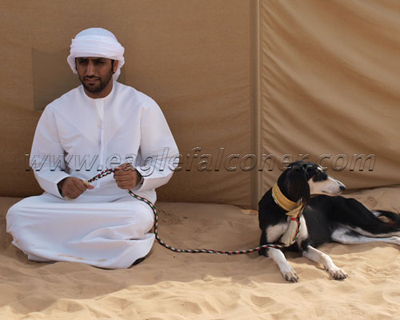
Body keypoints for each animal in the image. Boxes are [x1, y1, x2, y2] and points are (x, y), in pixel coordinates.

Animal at [260, 161, 400, 282]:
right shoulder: (265, 245)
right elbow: (278, 252)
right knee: (392, 237)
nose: (343, 187)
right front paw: (289, 271)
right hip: (346, 236)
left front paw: (336, 270)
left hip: (367, 226)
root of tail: (347, 199)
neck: (287, 209)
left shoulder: (304, 244)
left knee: (395, 232)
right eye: (317, 174)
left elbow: (324, 255)